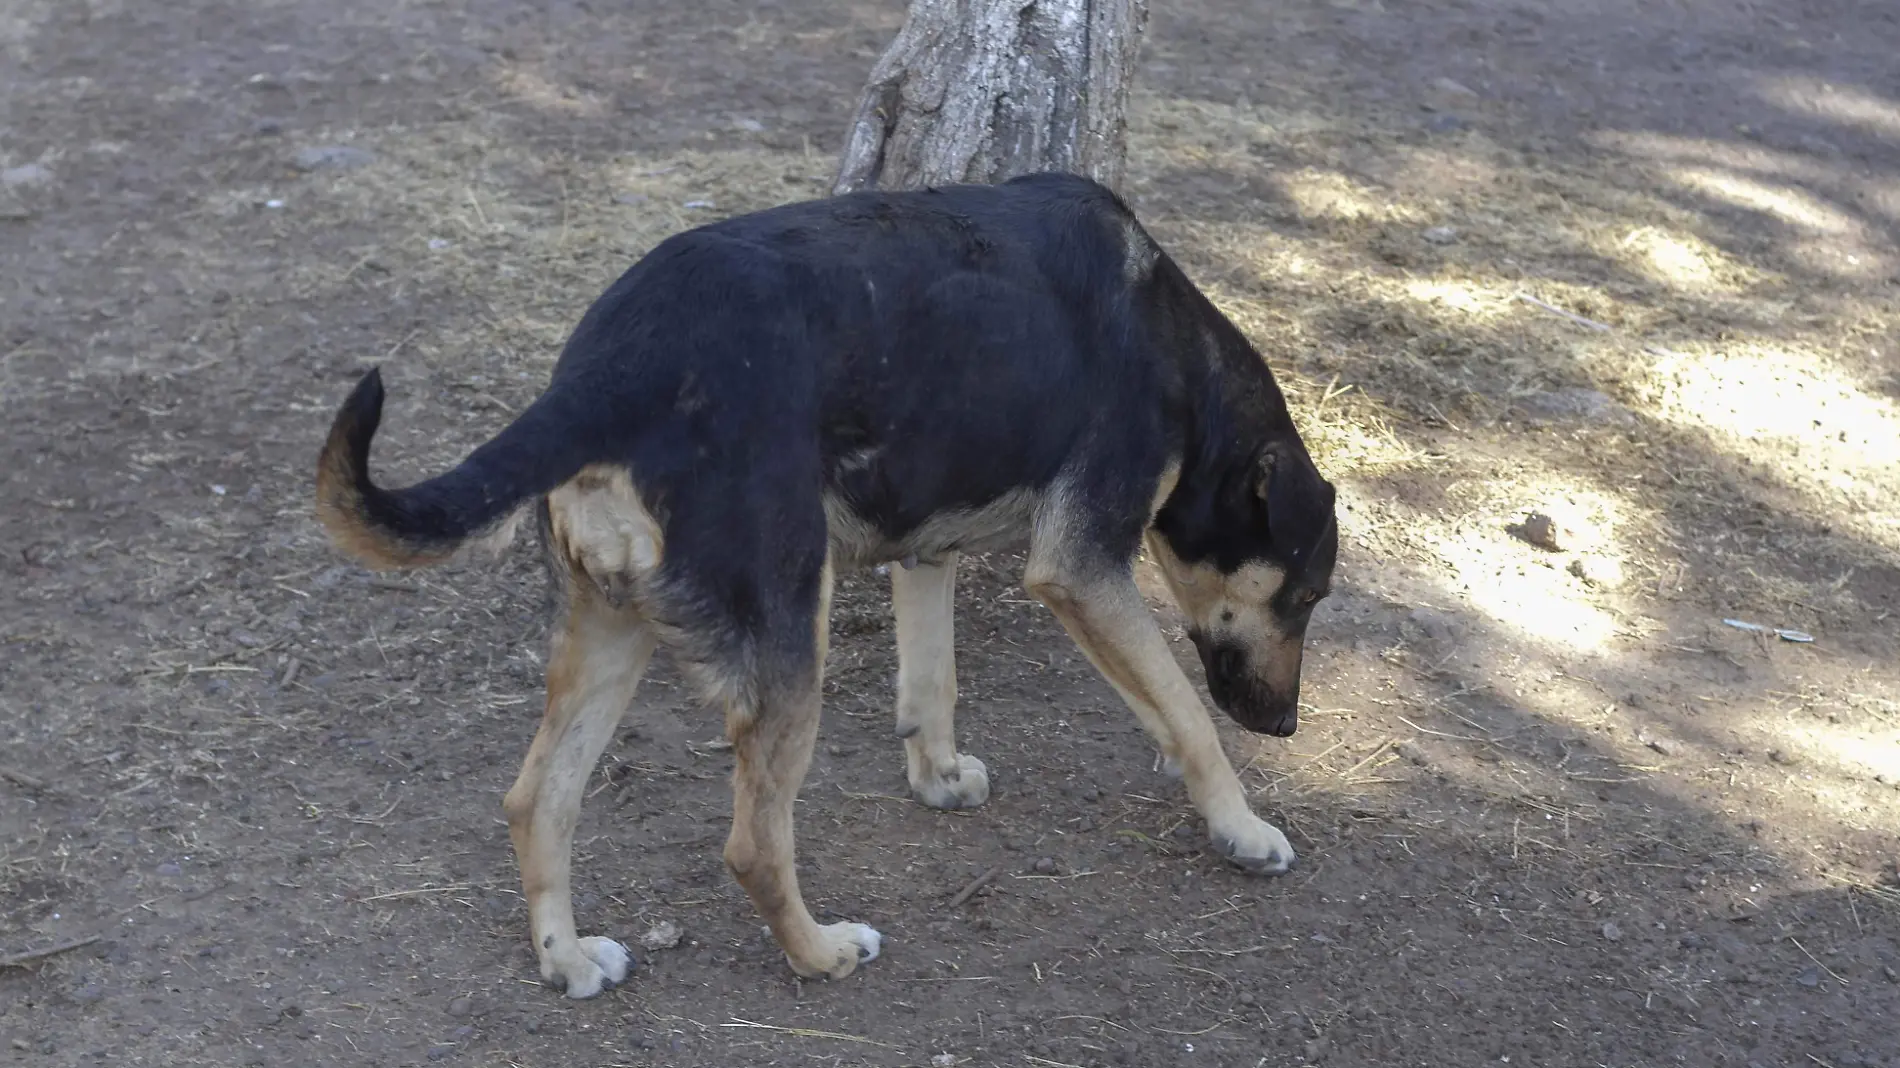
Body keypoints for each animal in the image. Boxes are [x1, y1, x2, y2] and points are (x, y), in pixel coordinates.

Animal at [315, 170, 1337, 995]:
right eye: (1305, 597)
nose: (1288, 728)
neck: (1176, 355)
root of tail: (607, 371)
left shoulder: (927, 547)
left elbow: (933, 683)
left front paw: (939, 774)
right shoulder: (1083, 572)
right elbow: (1189, 713)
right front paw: (1242, 829)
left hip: (609, 630)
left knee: (538, 800)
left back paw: (566, 959)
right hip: (786, 633)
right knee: (755, 845)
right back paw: (821, 952)